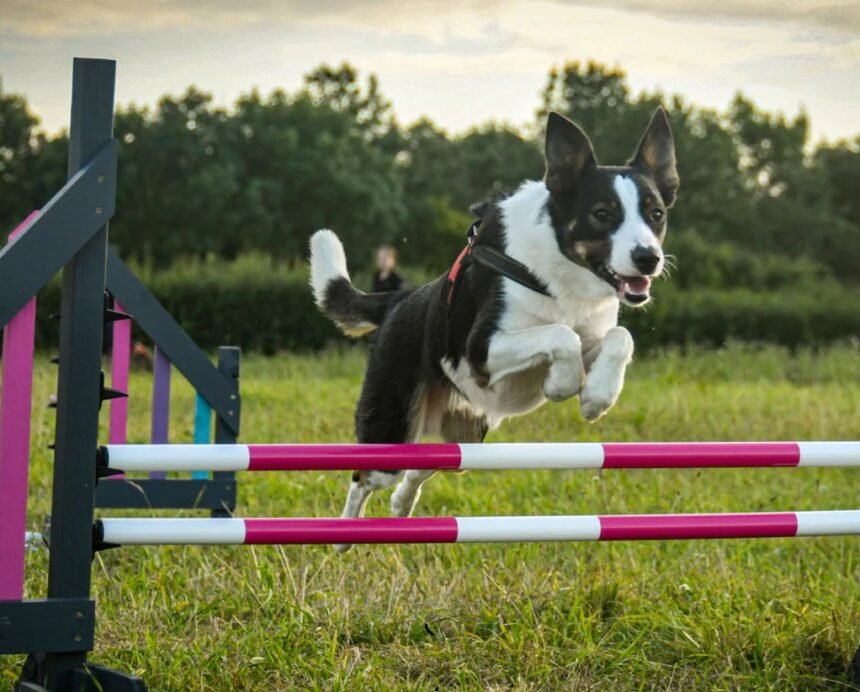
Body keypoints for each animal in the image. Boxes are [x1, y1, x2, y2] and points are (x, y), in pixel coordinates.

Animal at [310, 108, 680, 552]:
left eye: (656, 214)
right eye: (602, 214)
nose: (648, 258)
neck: (564, 274)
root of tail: (401, 299)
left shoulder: (593, 331)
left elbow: (617, 338)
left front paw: (597, 396)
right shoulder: (481, 348)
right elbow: (561, 334)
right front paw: (562, 384)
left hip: (469, 431)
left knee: (432, 462)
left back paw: (401, 503)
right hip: (391, 425)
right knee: (365, 476)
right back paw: (344, 535)